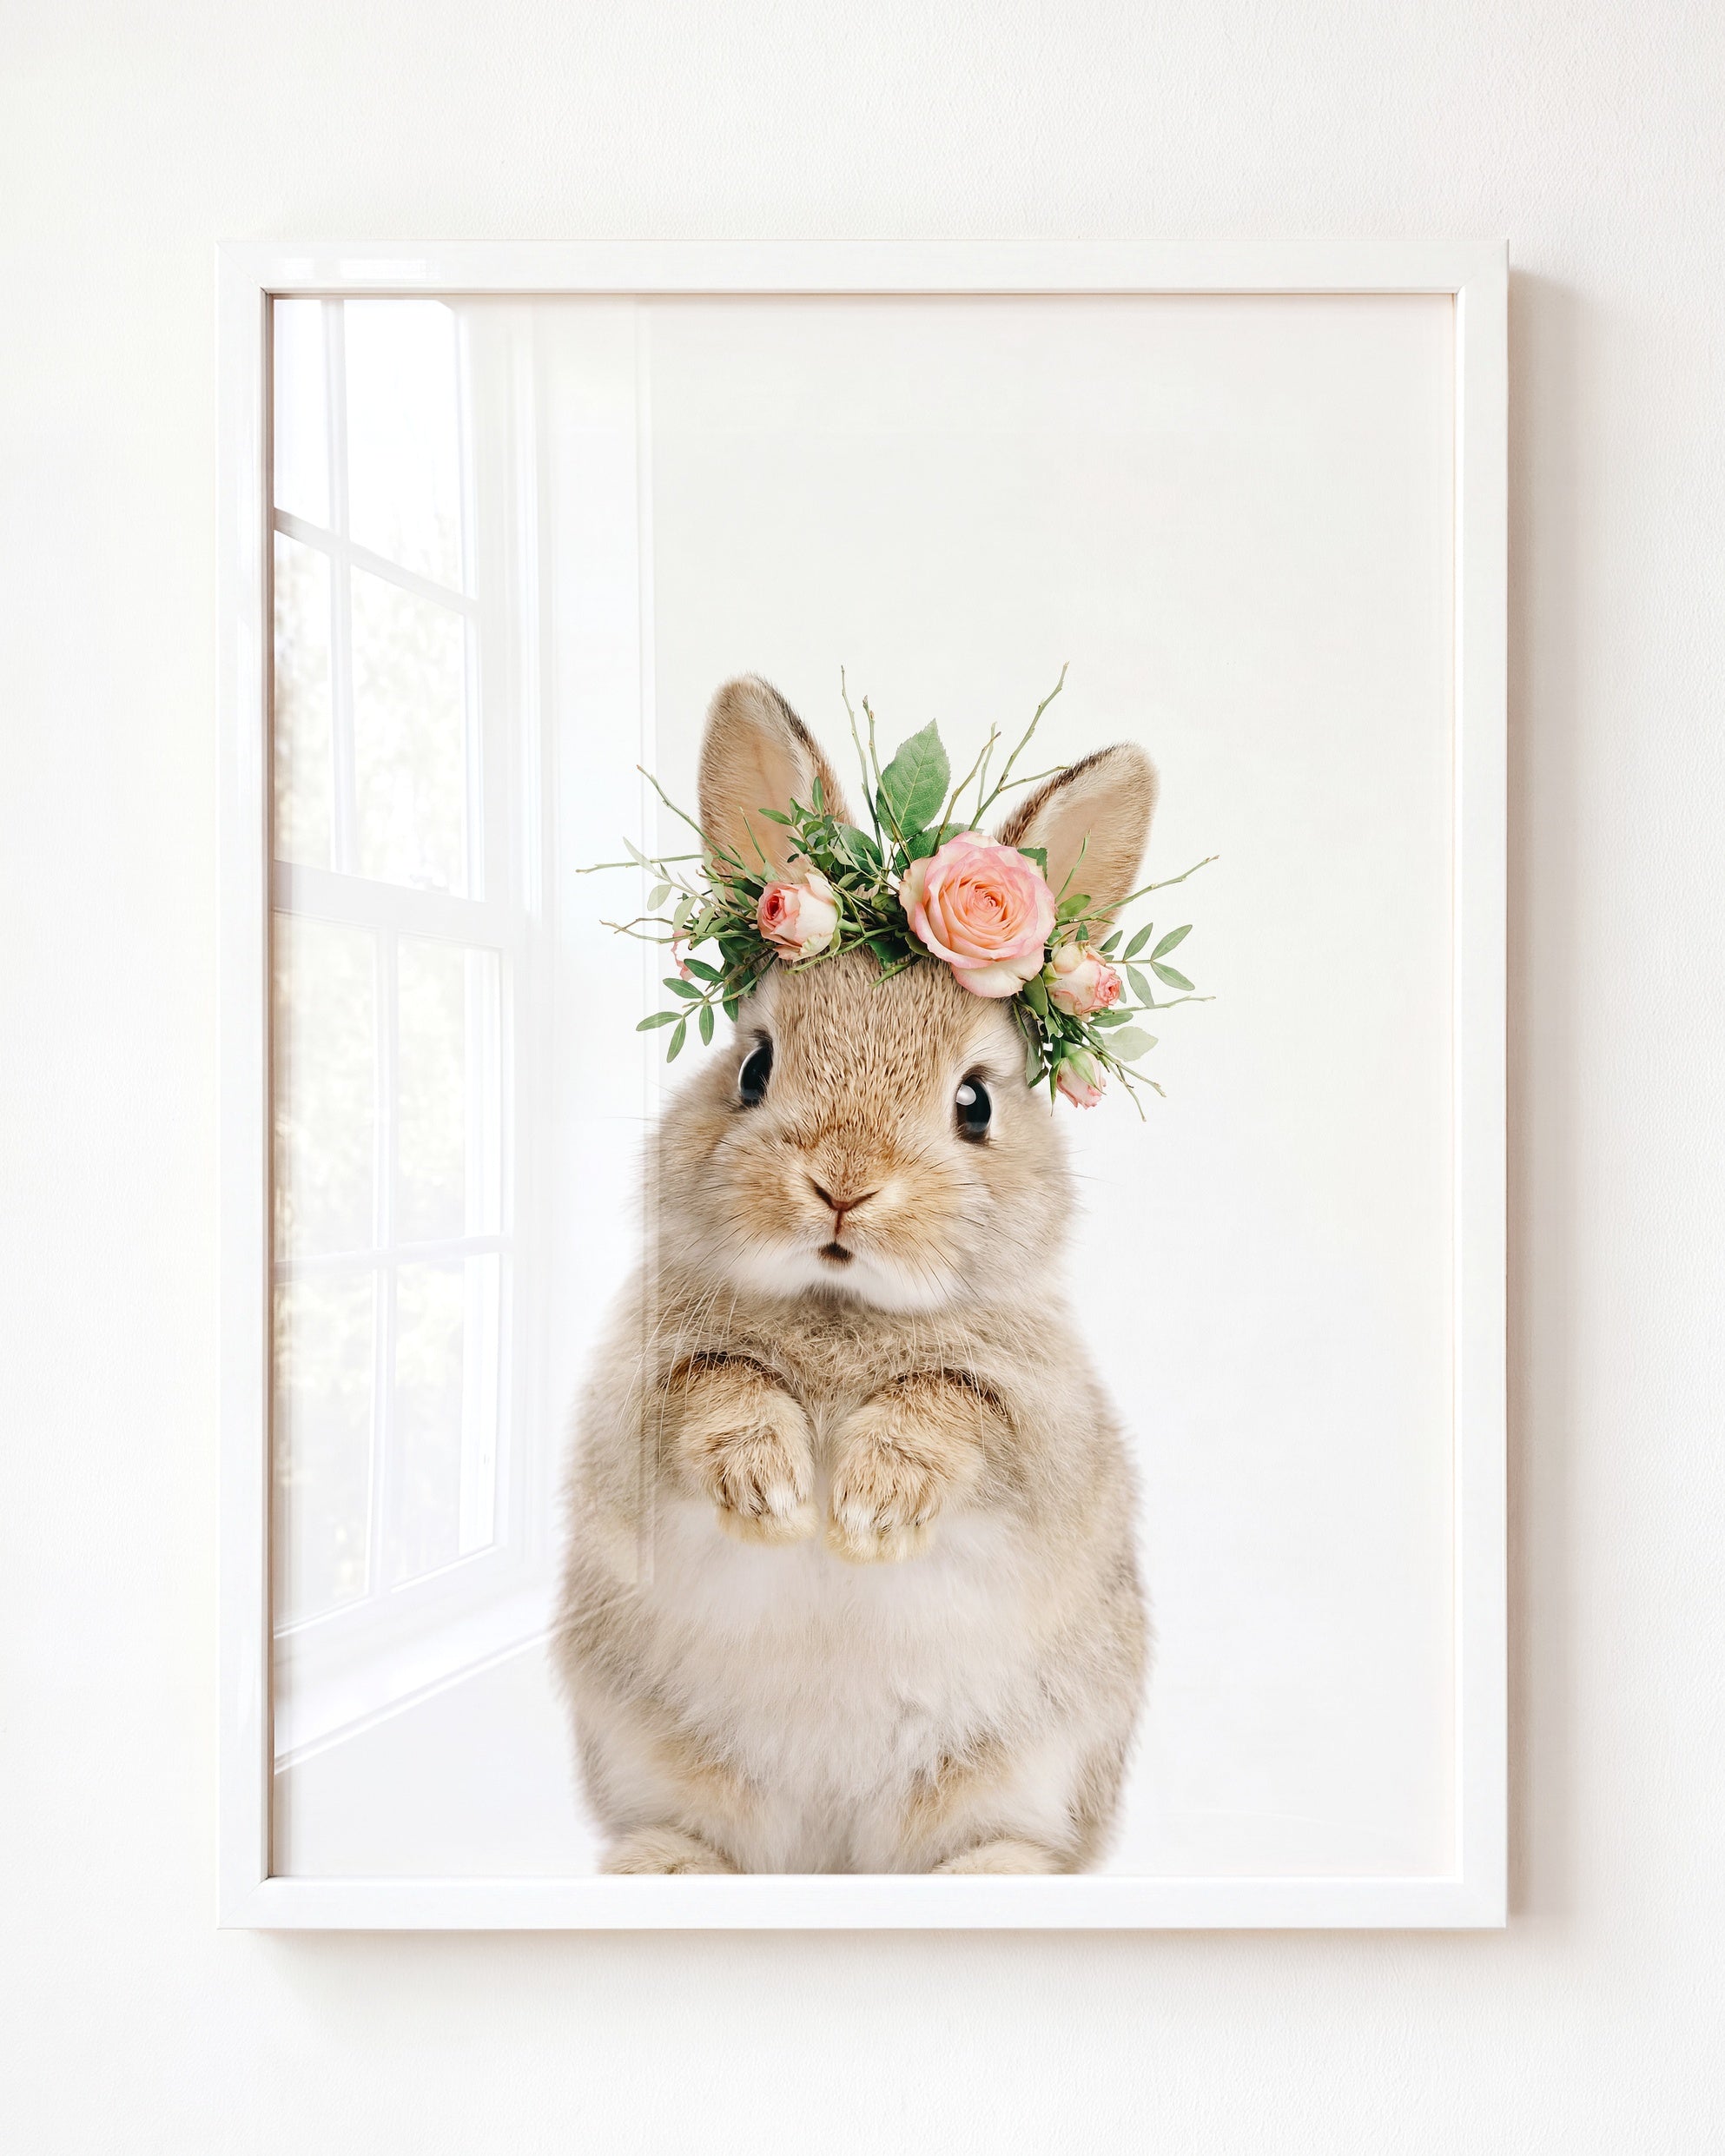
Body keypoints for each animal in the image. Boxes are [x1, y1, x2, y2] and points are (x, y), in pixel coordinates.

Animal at [553, 675, 1155, 1874]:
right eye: (753, 1066)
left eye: (975, 1101)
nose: (843, 1185)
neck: (841, 1307)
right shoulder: (636, 1396)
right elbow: (715, 1386)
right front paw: (776, 1492)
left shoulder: (1043, 1428)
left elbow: (951, 1406)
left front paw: (869, 1506)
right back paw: (663, 1868)